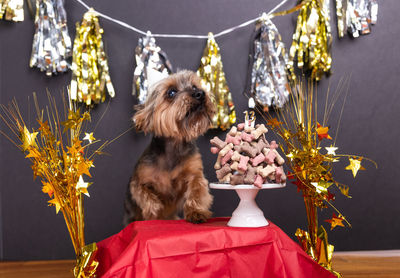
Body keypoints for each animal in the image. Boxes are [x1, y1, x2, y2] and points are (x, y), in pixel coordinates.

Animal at [124, 70, 216, 225]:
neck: (174, 146)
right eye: (171, 92)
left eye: (194, 86)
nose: (200, 93)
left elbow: (197, 188)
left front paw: (196, 212)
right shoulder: (138, 180)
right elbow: (145, 195)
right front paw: (154, 212)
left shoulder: (194, 171)